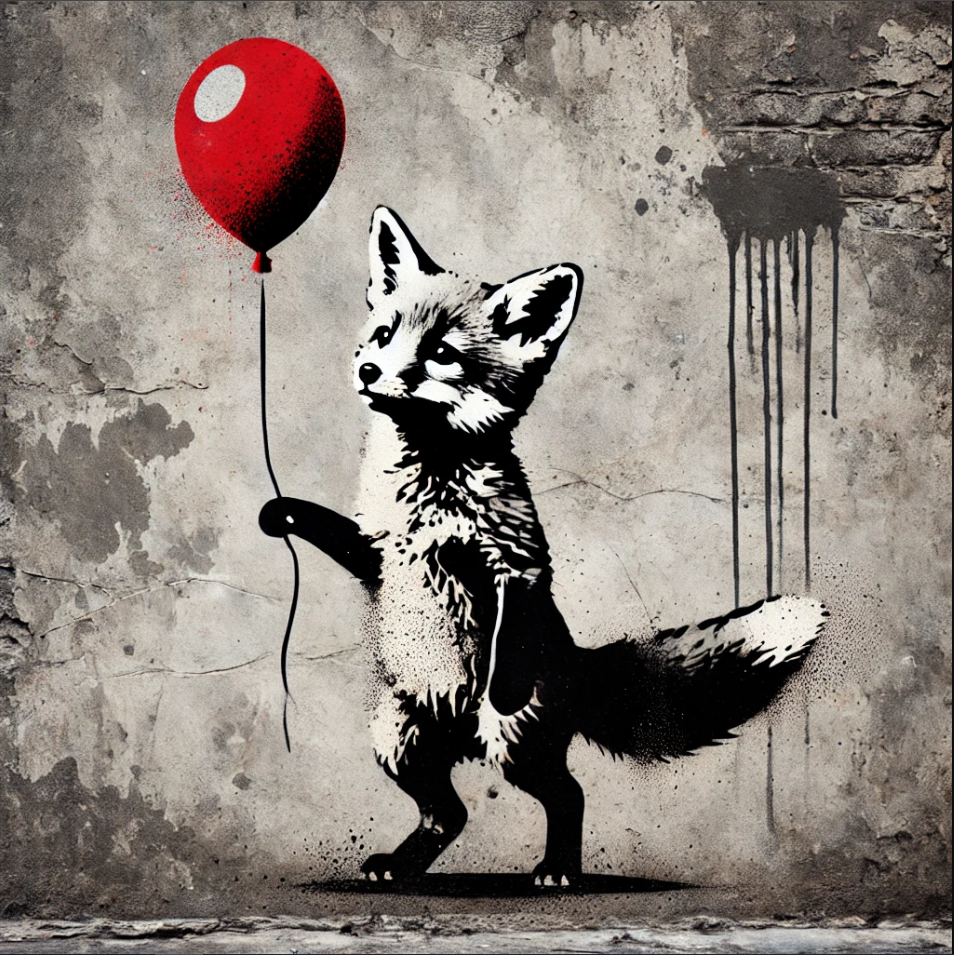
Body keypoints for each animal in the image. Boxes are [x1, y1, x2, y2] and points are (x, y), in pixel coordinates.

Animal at [258, 207, 829, 887]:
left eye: (441, 353)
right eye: (385, 333)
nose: (370, 371)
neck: (430, 488)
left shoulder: (513, 563)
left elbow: (510, 619)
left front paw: (498, 686)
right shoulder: (378, 553)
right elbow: (334, 531)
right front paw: (281, 513)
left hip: (513, 748)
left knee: (567, 794)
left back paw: (558, 868)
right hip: (398, 739)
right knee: (449, 814)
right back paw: (403, 864)